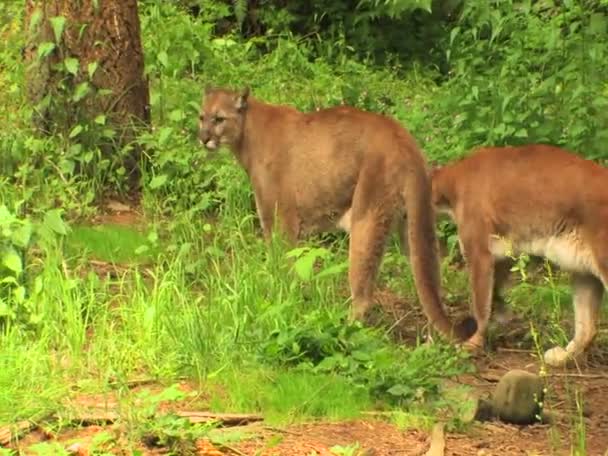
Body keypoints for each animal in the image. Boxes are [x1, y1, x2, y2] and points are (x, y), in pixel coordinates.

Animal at [200, 86, 476, 342]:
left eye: (219, 119)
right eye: (202, 117)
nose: (202, 138)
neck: (248, 131)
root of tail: (404, 139)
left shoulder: (279, 218)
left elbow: (282, 264)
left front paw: (281, 300)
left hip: (367, 217)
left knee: (364, 294)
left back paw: (342, 330)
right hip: (414, 224)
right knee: (429, 280)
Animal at [430, 144, 604, 366]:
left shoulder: (479, 253)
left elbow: (480, 304)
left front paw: (472, 344)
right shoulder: (501, 254)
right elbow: (492, 292)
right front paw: (501, 313)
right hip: (583, 271)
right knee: (588, 328)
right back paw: (561, 357)